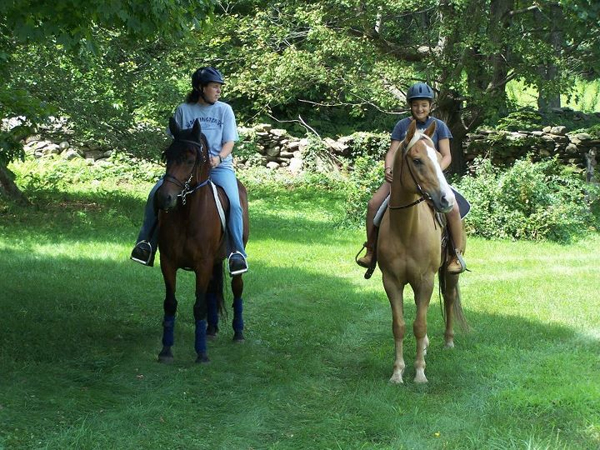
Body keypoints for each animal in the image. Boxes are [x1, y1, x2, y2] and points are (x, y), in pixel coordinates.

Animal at [156, 118, 250, 364]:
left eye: (190, 159)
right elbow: (170, 304)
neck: (188, 215)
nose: (164, 198)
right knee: (211, 291)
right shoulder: (168, 263)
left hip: (230, 260)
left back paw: (238, 333)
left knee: (237, 288)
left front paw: (201, 354)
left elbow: (198, 307)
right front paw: (166, 350)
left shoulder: (203, 264)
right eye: (167, 155)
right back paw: (211, 329)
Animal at [378, 119, 466, 384]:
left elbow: (420, 325)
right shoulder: (391, 281)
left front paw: (419, 373)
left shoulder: (426, 280)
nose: (446, 200)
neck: (406, 229)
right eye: (417, 160)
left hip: (449, 273)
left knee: (449, 298)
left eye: (438, 157)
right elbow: (400, 325)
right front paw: (397, 373)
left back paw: (448, 341)